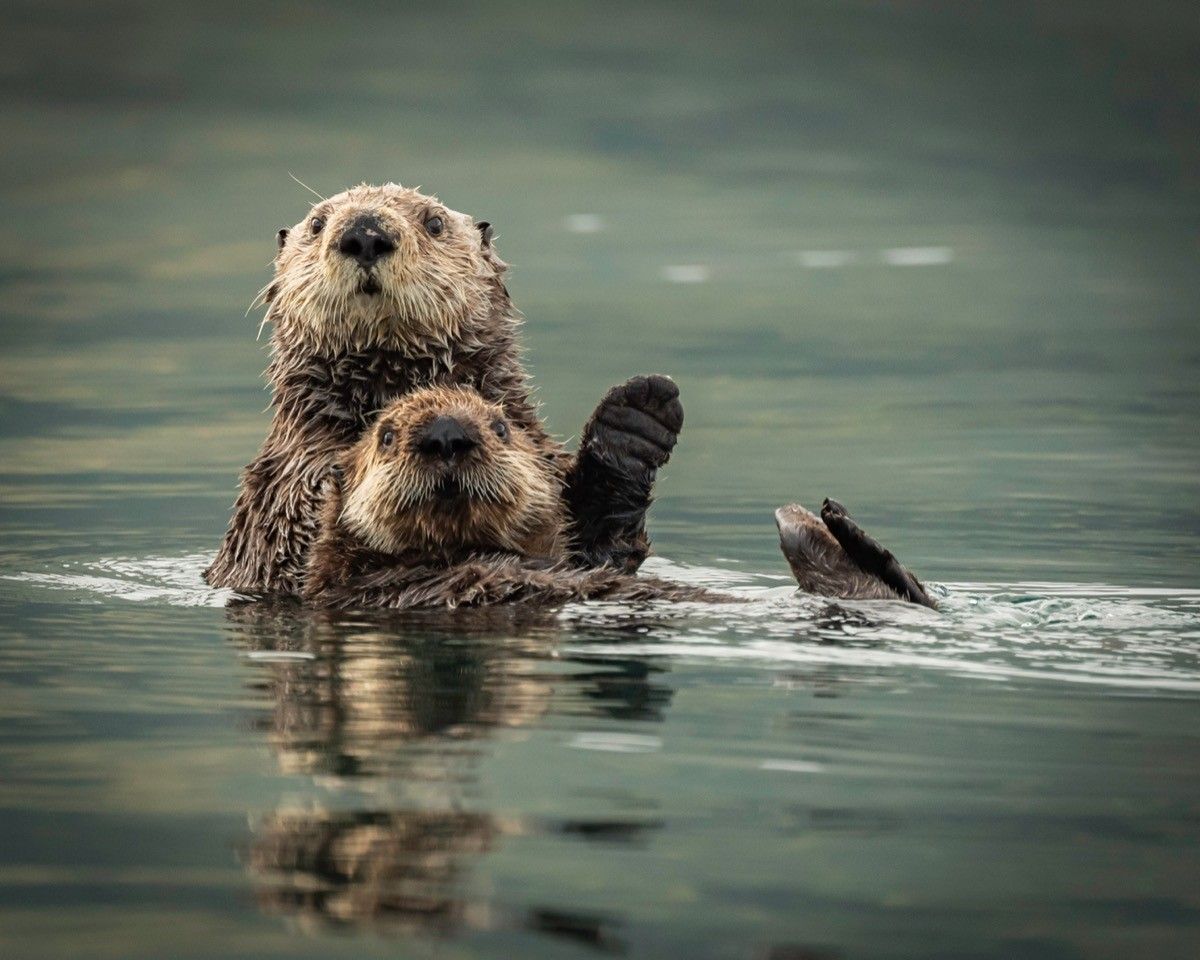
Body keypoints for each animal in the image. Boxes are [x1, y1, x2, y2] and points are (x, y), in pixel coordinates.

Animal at [206, 183, 686, 595]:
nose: (365, 233)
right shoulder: (284, 490)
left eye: (434, 223)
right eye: (318, 223)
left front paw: (635, 418)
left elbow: (599, 548)